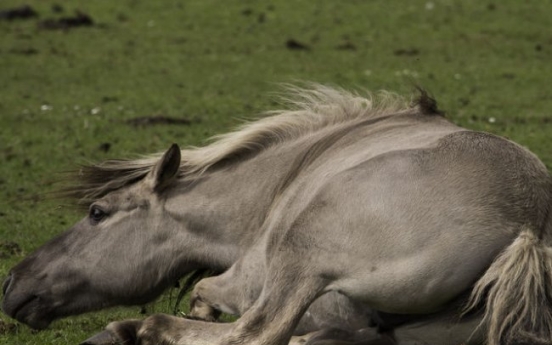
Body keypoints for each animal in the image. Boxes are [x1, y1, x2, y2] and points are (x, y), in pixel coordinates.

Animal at [1, 84, 552, 344]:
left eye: (97, 212)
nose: (12, 282)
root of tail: (527, 226)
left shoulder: (247, 276)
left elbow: (206, 293)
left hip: (301, 255)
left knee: (259, 332)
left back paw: (143, 329)